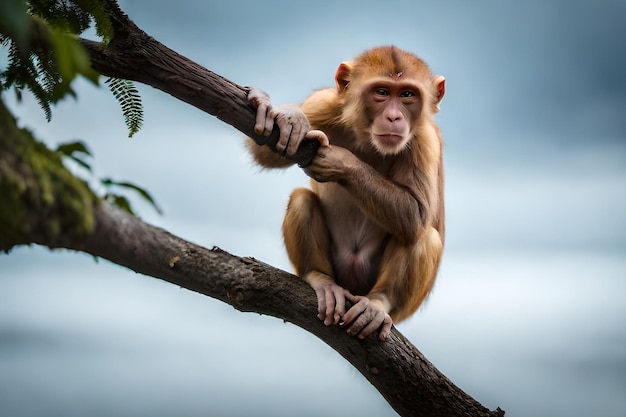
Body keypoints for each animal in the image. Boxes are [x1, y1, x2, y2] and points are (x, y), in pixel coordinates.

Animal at [245, 45, 444, 340]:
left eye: (407, 94)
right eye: (382, 92)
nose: (394, 117)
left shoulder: (424, 140)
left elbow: (416, 214)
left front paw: (342, 162)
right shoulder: (323, 104)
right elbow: (265, 151)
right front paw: (284, 115)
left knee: (422, 235)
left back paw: (379, 302)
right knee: (301, 200)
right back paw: (320, 279)